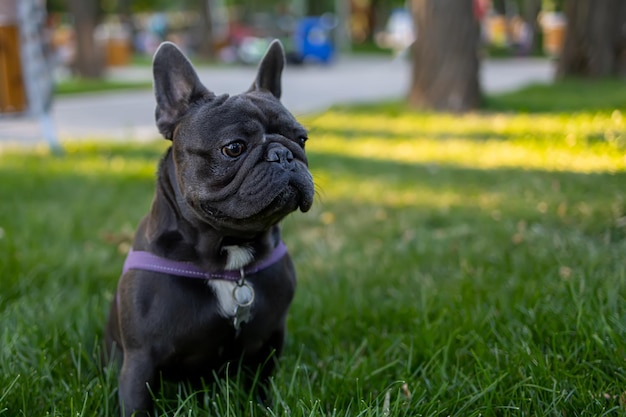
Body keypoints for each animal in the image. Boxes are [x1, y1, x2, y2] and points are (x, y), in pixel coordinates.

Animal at [104, 39, 314, 416]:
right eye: (234, 148)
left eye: (302, 140)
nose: (283, 154)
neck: (229, 253)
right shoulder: (140, 358)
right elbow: (137, 403)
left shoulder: (270, 340)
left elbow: (264, 384)